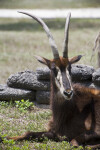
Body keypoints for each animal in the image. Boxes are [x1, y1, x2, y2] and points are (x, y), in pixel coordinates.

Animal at [0, 12, 100, 149]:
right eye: (53, 68)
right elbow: (28, 133)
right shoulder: (53, 132)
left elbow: (74, 141)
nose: (68, 92)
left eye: (70, 67)